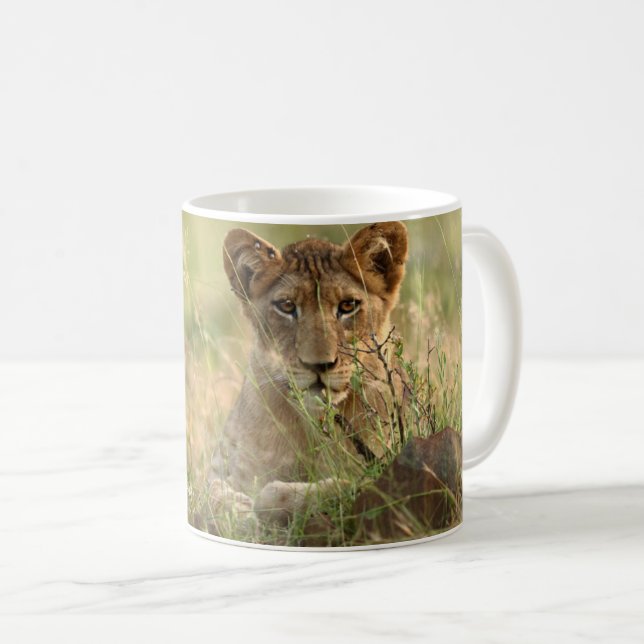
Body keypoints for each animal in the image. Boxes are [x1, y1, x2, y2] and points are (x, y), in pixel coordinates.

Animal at [208, 221, 409, 534]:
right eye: (287, 306)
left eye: (348, 306)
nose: (319, 364)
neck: (312, 425)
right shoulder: (221, 466)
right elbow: (211, 495)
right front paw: (238, 515)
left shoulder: (384, 464)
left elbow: (342, 486)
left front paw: (268, 502)